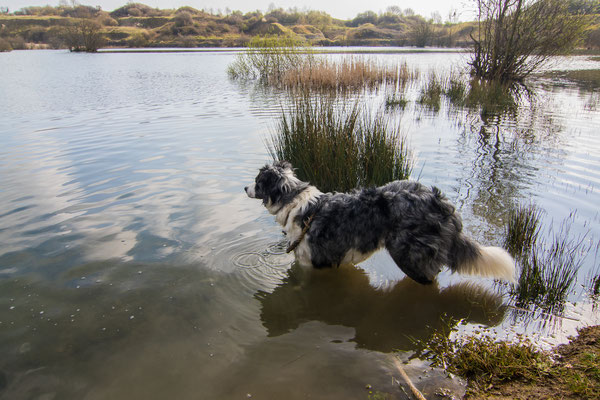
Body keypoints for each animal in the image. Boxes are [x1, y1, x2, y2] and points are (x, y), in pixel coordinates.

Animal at [244, 160, 516, 284]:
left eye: (257, 182)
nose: (245, 187)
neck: (296, 201)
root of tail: (440, 202)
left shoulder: (310, 263)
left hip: (408, 255)